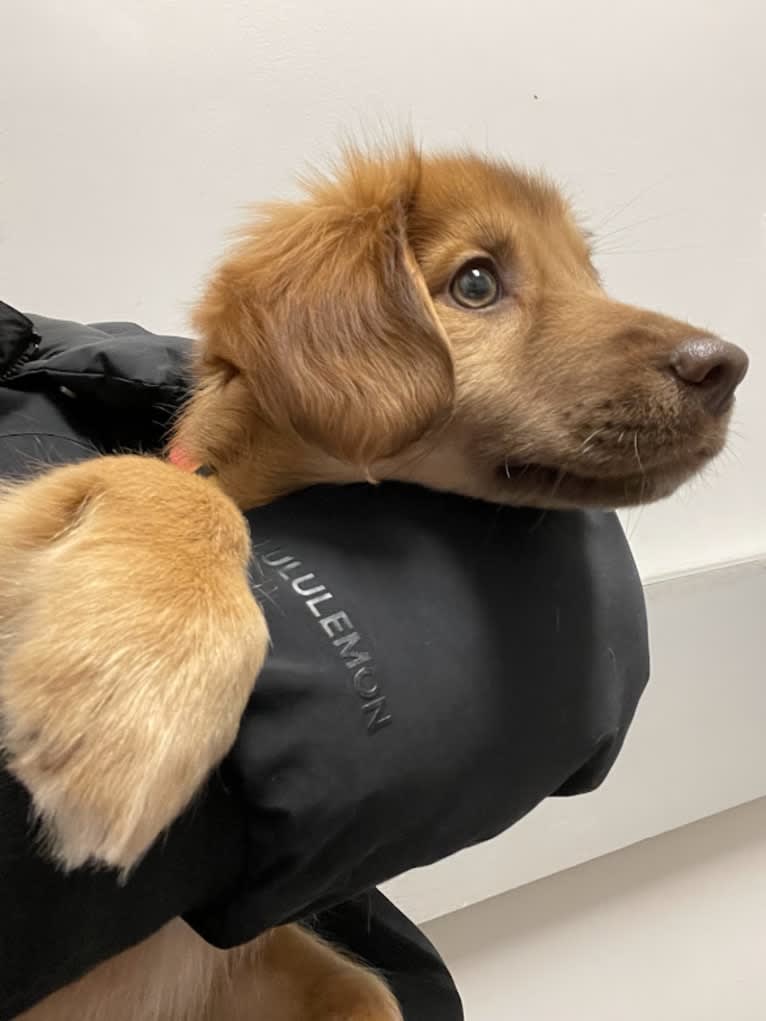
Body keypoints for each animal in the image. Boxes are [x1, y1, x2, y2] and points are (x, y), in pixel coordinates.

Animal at [4, 146, 751, 1021]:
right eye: (475, 283)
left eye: (588, 273)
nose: (727, 367)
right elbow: (171, 484)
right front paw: (129, 700)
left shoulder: (244, 963)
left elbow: (368, 992)